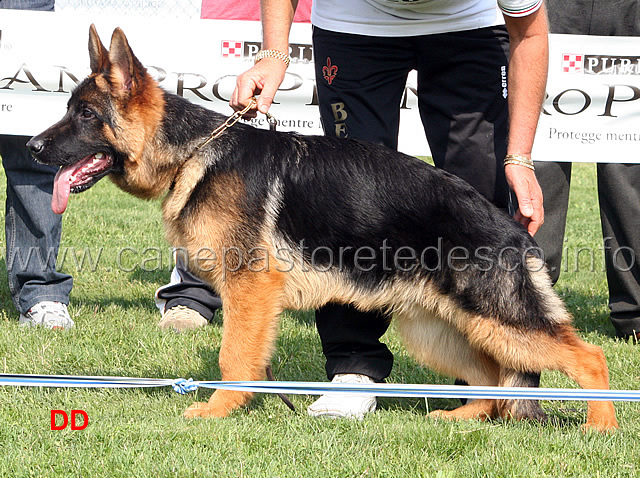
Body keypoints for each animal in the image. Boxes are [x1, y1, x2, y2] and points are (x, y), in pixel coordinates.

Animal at [27, 26, 616, 434]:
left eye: (85, 115)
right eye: (67, 109)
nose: (32, 148)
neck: (193, 151)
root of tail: (514, 230)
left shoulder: (250, 290)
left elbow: (233, 357)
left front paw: (218, 409)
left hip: (498, 320)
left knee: (588, 357)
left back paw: (602, 426)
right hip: (441, 329)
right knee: (494, 376)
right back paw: (465, 418)